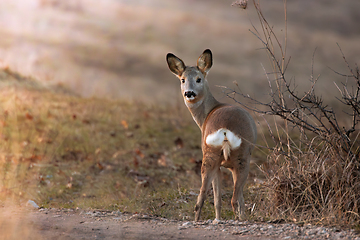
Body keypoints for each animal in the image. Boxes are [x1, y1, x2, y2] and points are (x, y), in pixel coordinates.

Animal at [167, 48, 258, 221]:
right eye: (182, 80)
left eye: (198, 79)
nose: (189, 93)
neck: (208, 112)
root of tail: (224, 131)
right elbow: (239, 199)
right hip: (242, 157)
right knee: (235, 199)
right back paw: (240, 219)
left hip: (209, 155)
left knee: (200, 199)